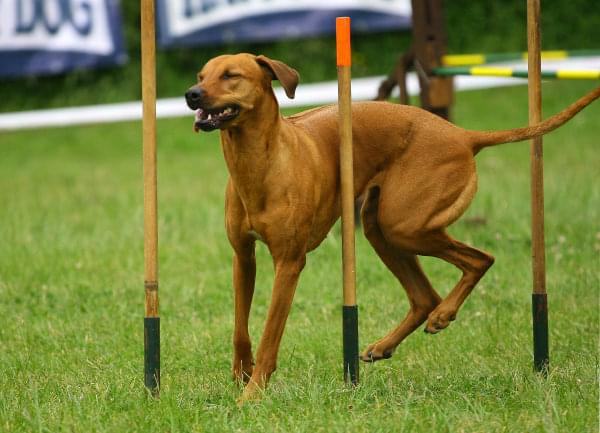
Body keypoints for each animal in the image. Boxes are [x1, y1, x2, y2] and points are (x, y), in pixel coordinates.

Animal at [185, 54, 596, 402]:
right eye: (201, 75)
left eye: (231, 75)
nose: (191, 94)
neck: (261, 161)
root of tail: (463, 134)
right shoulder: (243, 256)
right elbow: (240, 328)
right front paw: (241, 373)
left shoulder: (289, 263)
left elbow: (270, 334)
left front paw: (252, 393)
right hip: (379, 227)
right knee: (425, 294)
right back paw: (388, 343)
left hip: (405, 224)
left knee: (480, 259)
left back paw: (444, 314)